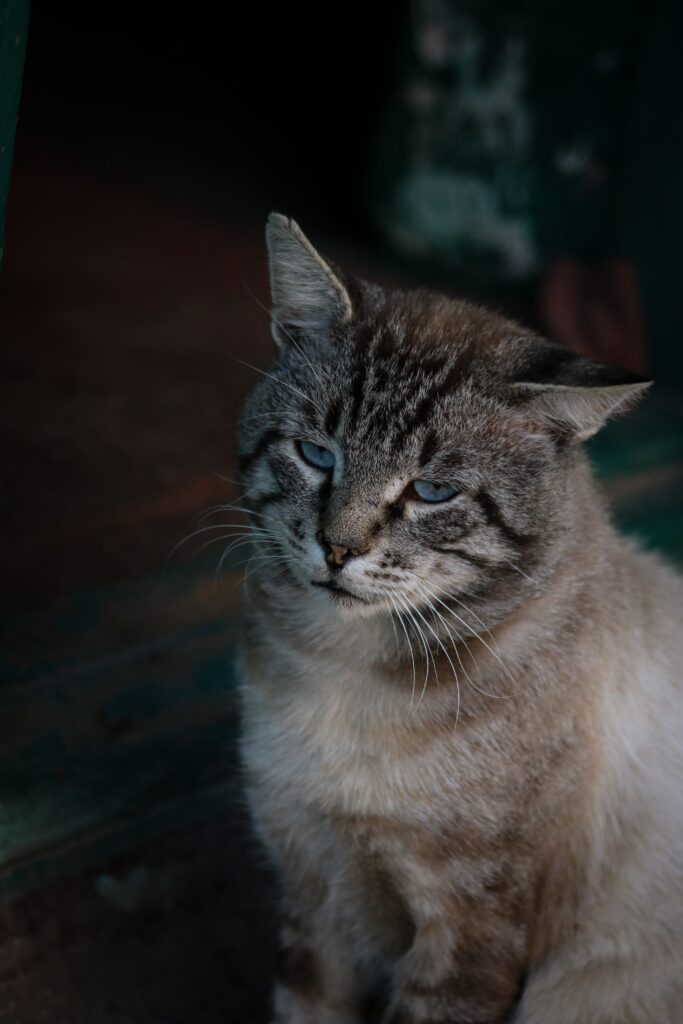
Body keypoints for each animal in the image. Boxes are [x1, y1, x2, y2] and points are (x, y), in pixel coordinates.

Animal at [236, 211, 683, 1019]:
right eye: (317, 455)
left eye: (433, 493)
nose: (337, 549)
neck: (345, 673)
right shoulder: (311, 892)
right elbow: (303, 1003)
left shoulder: (467, 931)